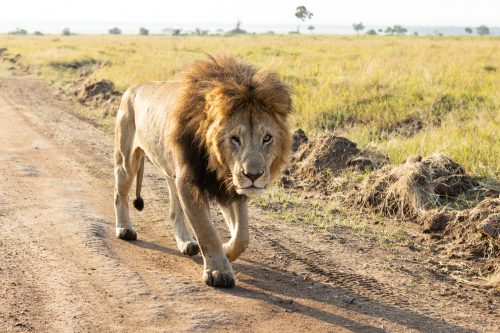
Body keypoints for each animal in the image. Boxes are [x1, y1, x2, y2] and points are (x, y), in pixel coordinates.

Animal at [113, 55, 292, 288]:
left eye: (267, 138)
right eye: (235, 138)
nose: (253, 176)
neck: (218, 165)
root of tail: (132, 88)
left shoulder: (228, 186)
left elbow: (243, 235)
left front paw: (227, 251)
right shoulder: (190, 181)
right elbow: (207, 231)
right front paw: (218, 271)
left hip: (171, 171)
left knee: (174, 211)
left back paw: (186, 242)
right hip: (127, 160)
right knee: (120, 194)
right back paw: (124, 229)